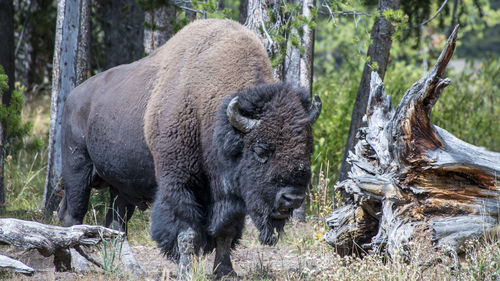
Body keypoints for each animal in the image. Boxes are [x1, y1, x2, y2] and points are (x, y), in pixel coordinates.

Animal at [59, 18, 320, 276]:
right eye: (261, 150)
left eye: (308, 149)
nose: (292, 198)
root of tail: (72, 98)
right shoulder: (180, 185)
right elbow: (188, 234)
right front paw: (186, 272)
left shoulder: (231, 197)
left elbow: (226, 232)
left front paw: (225, 272)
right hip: (78, 172)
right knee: (73, 218)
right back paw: (81, 265)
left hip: (121, 187)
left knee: (116, 225)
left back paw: (133, 268)